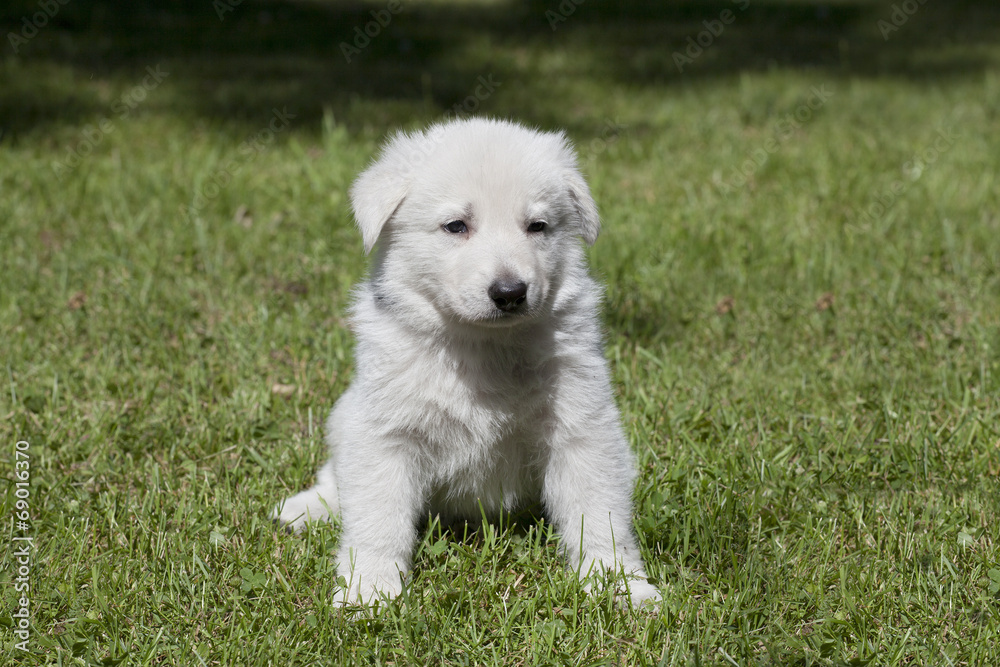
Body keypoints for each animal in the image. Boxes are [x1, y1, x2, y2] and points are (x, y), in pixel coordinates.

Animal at [278, 116, 660, 612]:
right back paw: (308, 508)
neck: (482, 345)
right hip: (346, 416)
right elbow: (378, 516)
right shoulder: (384, 431)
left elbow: (599, 512)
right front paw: (370, 588)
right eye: (456, 225)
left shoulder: (582, 427)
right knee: (336, 476)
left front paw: (620, 584)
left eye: (537, 226)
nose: (510, 293)